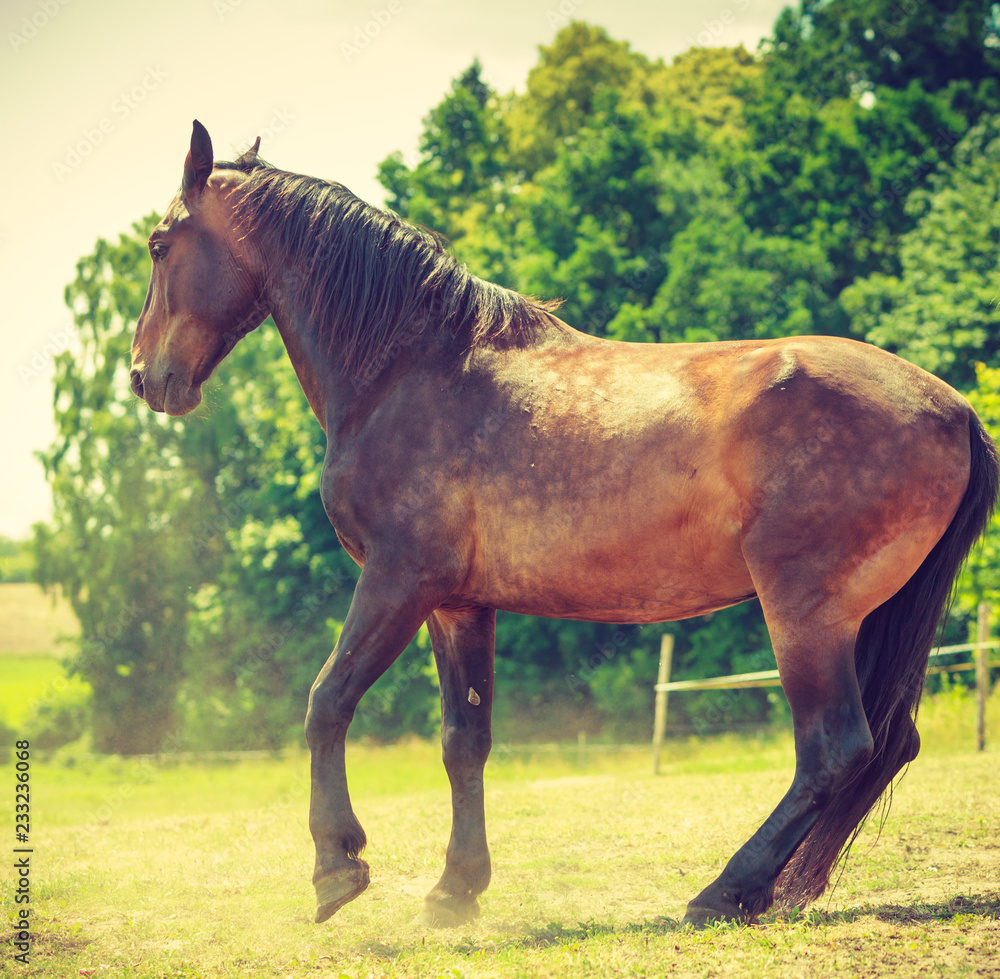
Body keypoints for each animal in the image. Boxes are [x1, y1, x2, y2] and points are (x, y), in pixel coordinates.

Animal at [129, 120, 996, 928]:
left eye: (159, 245)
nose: (145, 377)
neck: (411, 370)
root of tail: (953, 405)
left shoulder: (397, 581)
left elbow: (326, 702)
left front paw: (337, 869)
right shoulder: (457, 603)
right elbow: (464, 739)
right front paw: (455, 888)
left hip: (806, 612)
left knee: (834, 748)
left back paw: (724, 891)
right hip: (864, 615)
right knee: (883, 744)